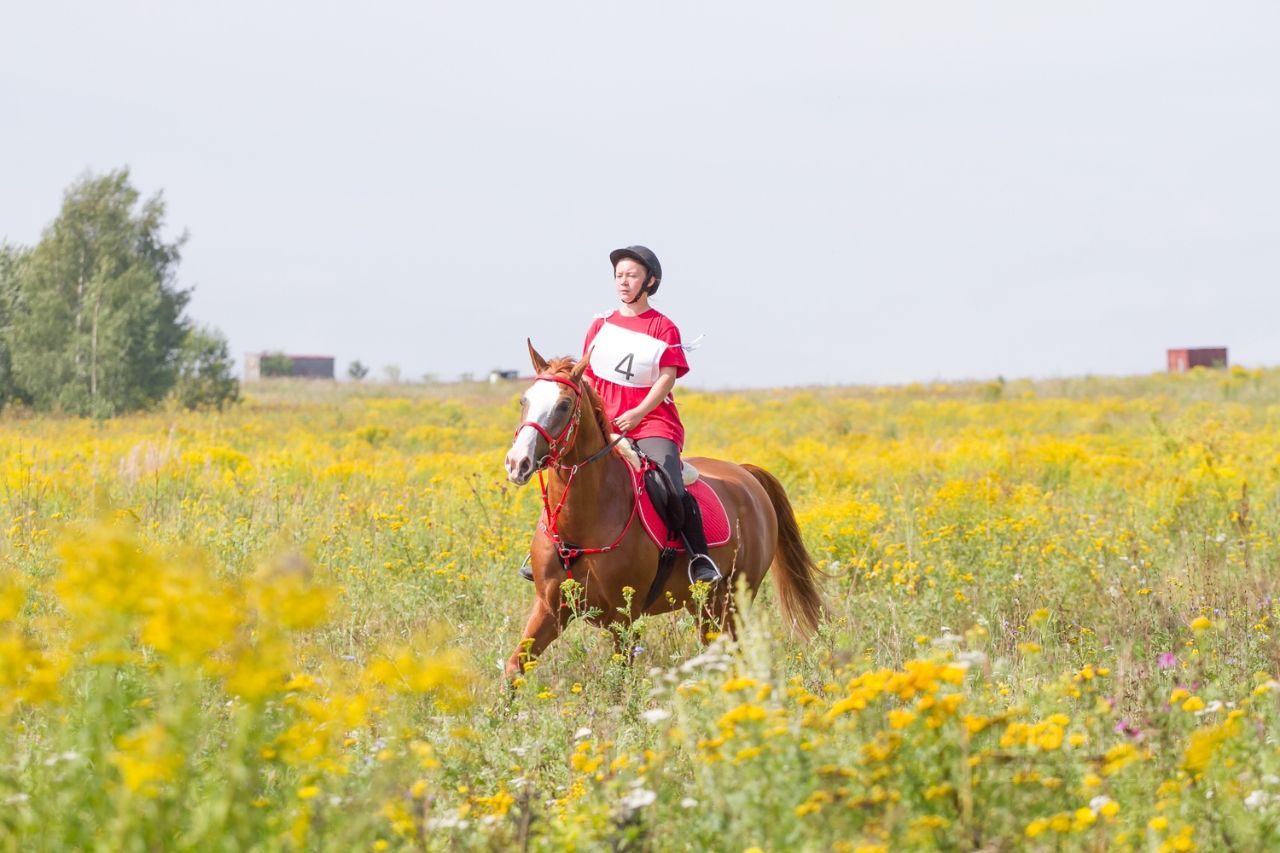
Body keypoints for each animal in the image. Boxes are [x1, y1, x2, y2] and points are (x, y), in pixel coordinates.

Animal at [499, 343, 819, 676]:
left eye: (563, 405)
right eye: (524, 399)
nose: (517, 463)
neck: (580, 524)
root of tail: (745, 474)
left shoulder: (624, 617)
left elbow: (621, 681)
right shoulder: (549, 607)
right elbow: (514, 668)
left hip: (733, 599)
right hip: (702, 605)